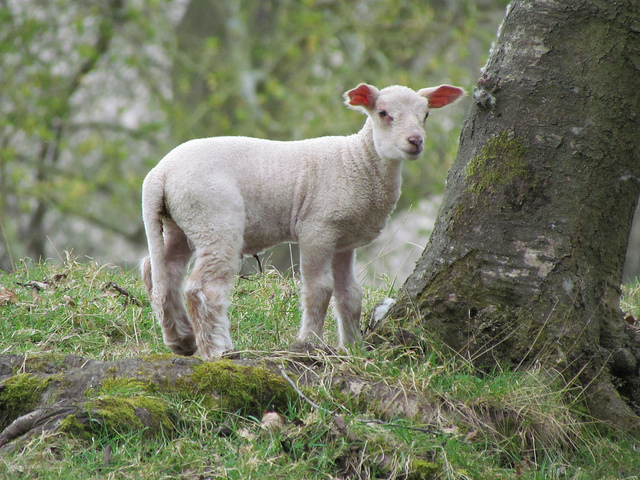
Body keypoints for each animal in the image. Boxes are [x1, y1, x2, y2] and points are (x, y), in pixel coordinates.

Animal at [141, 83, 465, 360]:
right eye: (383, 113)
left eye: (426, 114)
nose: (415, 141)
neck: (358, 162)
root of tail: (160, 173)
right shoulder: (317, 229)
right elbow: (319, 289)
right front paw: (309, 343)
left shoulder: (344, 240)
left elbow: (350, 295)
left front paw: (353, 348)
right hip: (214, 218)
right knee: (202, 288)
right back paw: (218, 350)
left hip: (182, 222)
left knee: (161, 272)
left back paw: (181, 340)